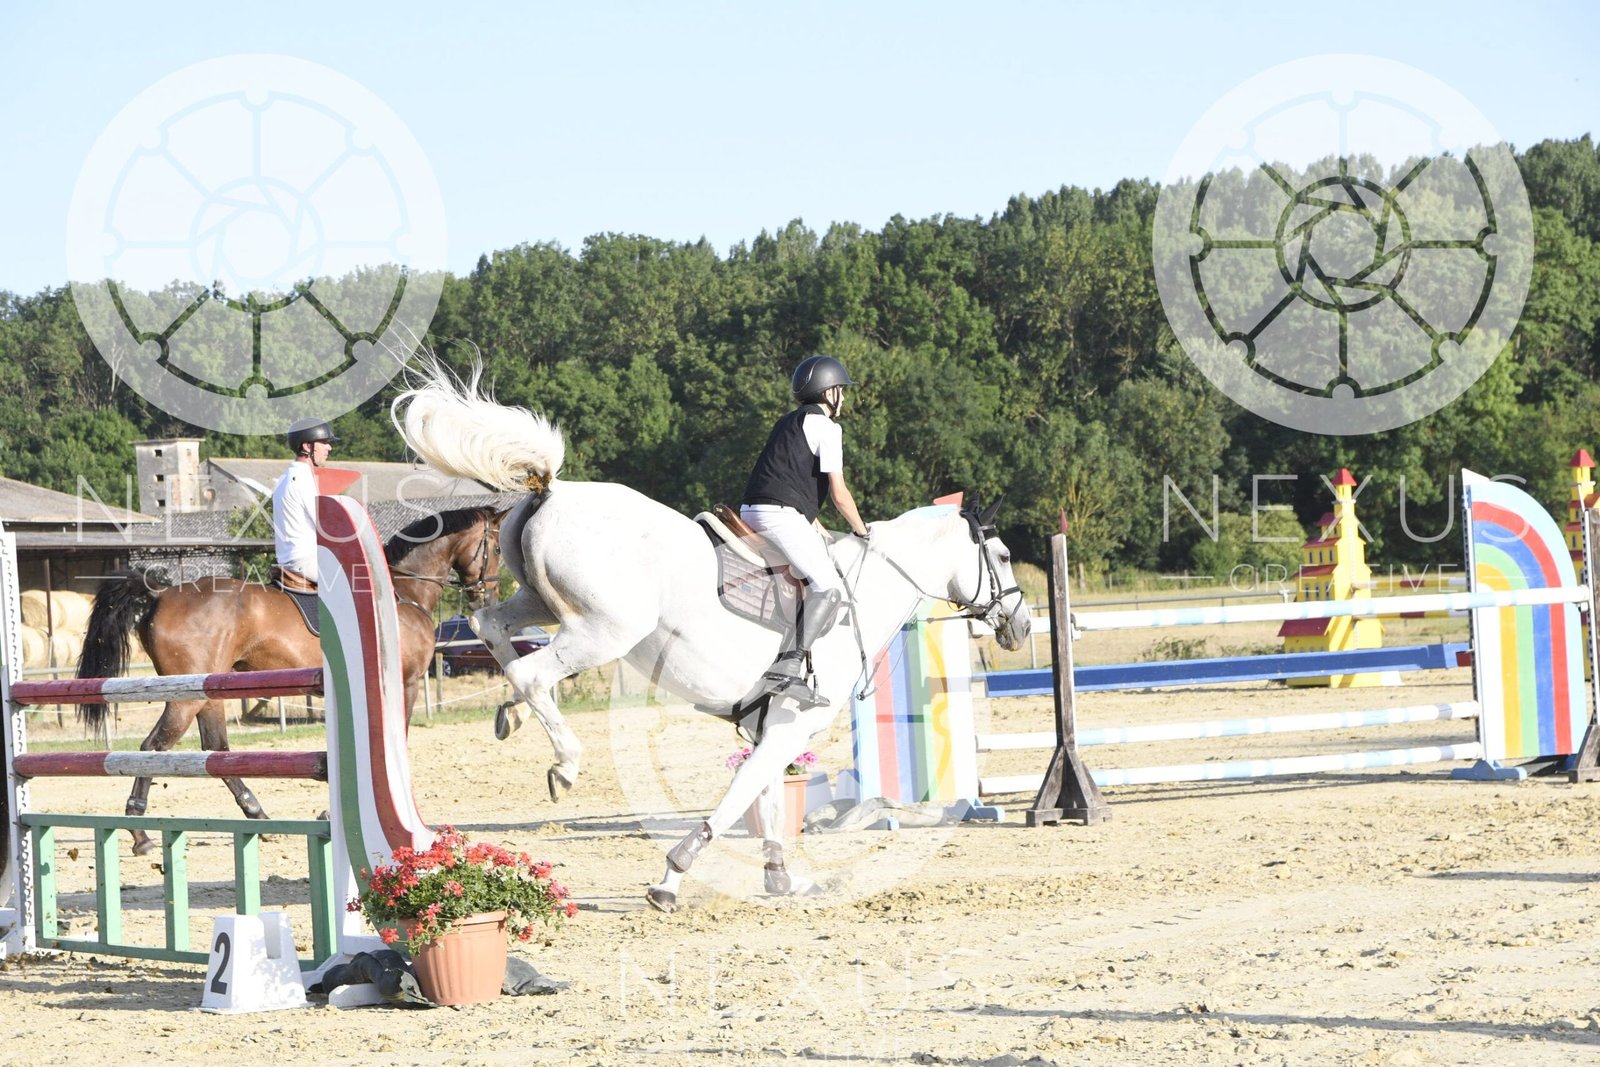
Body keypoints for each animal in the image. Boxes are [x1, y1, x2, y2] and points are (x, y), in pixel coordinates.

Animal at [76, 505, 504, 855]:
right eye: (498, 548)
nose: (487, 597)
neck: (401, 592)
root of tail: (159, 594)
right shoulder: (407, 682)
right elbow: (399, 739)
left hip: (207, 691)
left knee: (216, 750)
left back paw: (260, 817)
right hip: (186, 697)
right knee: (153, 748)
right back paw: (141, 834)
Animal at [391, 361, 1032, 911]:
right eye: (1001, 555)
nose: (1021, 625)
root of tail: (553, 489)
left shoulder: (766, 724)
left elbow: (768, 801)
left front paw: (780, 879)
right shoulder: (788, 725)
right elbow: (739, 798)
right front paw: (671, 878)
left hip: (542, 603)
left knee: (491, 628)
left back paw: (513, 715)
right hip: (606, 630)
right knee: (531, 670)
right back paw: (565, 763)